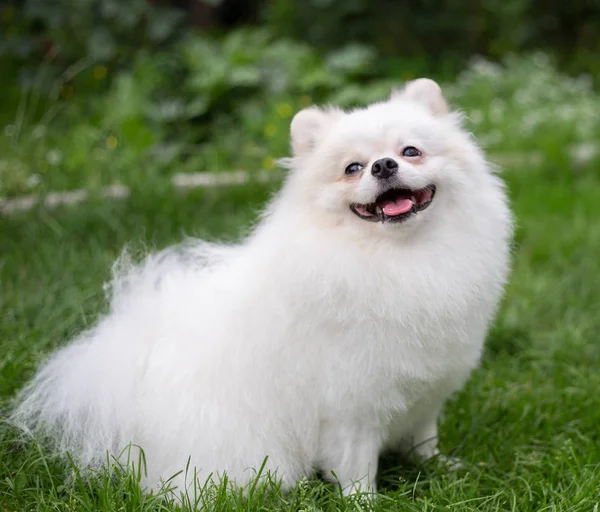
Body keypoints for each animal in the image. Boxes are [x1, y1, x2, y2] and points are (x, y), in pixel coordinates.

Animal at [10, 79, 510, 496]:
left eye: (411, 151)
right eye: (352, 168)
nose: (383, 165)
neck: (399, 258)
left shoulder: (427, 390)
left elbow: (424, 438)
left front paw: (441, 468)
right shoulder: (351, 405)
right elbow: (356, 465)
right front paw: (365, 502)